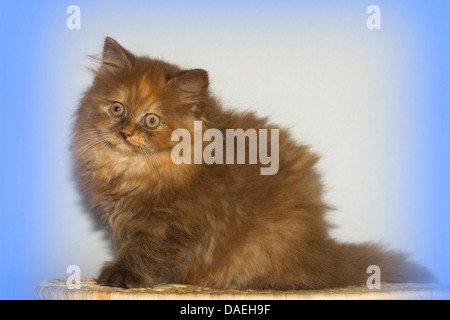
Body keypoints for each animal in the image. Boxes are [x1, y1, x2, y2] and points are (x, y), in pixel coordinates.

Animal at [72, 37, 434, 290]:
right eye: (117, 109)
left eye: (151, 120)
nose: (125, 132)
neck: (136, 170)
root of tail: (325, 252)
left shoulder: (172, 223)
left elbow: (145, 252)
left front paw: (122, 277)